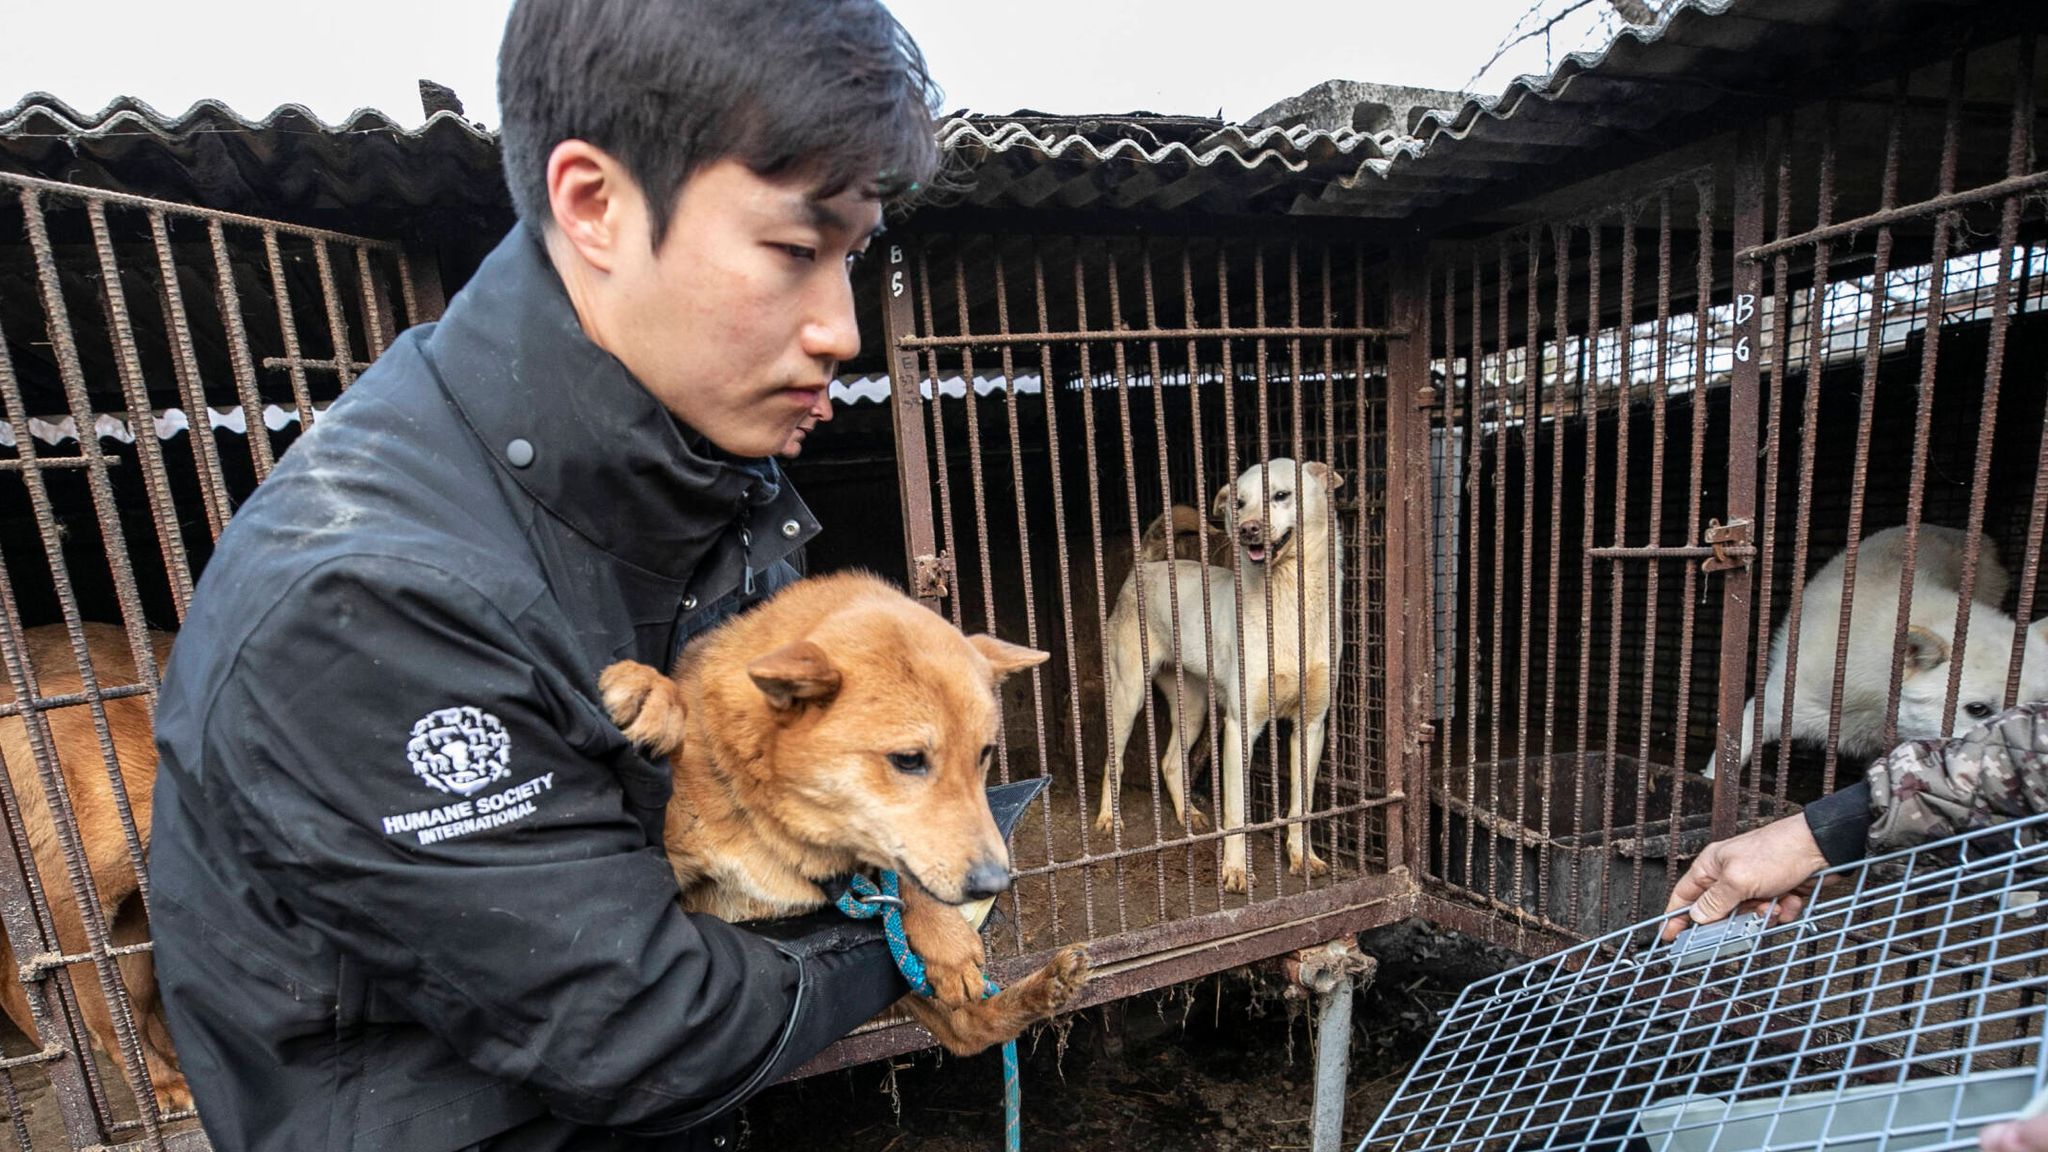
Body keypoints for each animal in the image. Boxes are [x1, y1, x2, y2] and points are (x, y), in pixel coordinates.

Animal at [598, 569, 1089, 1057]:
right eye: (909, 759)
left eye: (984, 754)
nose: (995, 882)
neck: (773, 822)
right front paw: (650, 693)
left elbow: (899, 872)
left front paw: (945, 937)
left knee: (968, 1031)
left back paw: (1047, 986)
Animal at [1097, 455, 1351, 889]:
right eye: (1239, 503)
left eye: (1280, 495)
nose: (1248, 529)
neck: (1289, 603)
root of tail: (1146, 567)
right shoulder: (1240, 725)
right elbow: (1235, 810)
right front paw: (1234, 869)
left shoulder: (1311, 726)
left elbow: (1301, 804)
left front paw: (1303, 857)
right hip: (1129, 694)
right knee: (1113, 760)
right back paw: (1107, 819)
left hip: (1194, 707)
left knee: (1170, 762)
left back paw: (1190, 817)